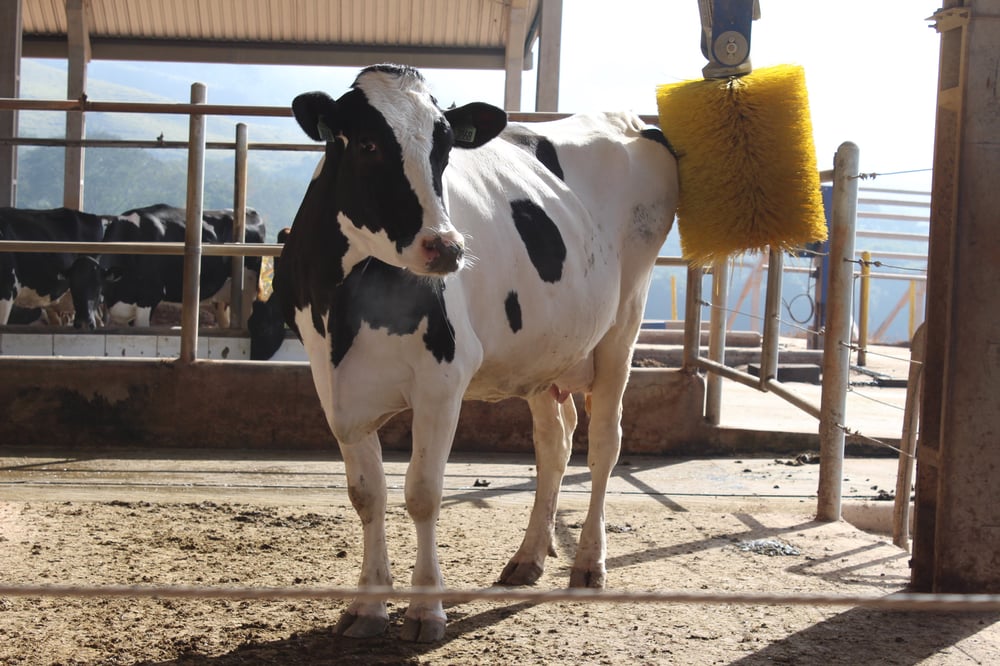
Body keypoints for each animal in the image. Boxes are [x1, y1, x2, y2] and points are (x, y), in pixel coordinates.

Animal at [276, 66, 680, 640]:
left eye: (445, 147)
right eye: (368, 143)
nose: (446, 246)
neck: (348, 307)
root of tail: (624, 119)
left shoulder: (443, 378)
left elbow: (423, 492)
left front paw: (426, 609)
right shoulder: (330, 382)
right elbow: (367, 494)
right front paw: (368, 606)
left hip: (623, 323)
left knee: (604, 442)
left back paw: (587, 563)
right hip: (543, 351)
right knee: (554, 444)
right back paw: (529, 557)